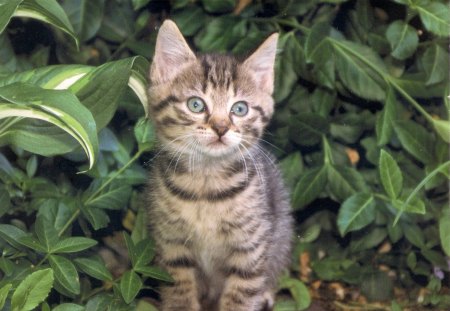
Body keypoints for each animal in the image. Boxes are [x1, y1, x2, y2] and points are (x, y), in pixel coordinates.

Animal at [148, 20, 294, 311]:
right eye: (196, 104)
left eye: (239, 109)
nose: (220, 128)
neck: (205, 187)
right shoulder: (171, 245)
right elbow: (179, 295)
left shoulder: (250, 250)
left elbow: (241, 297)